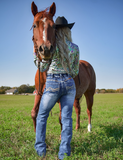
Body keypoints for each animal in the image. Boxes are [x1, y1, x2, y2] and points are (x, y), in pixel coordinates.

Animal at [30, 1, 96, 134]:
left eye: (54, 26)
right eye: (34, 25)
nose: (45, 49)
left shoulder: (61, 98)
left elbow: (61, 118)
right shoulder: (39, 94)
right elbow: (34, 113)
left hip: (90, 93)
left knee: (89, 110)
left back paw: (89, 129)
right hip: (76, 96)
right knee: (78, 109)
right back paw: (77, 127)